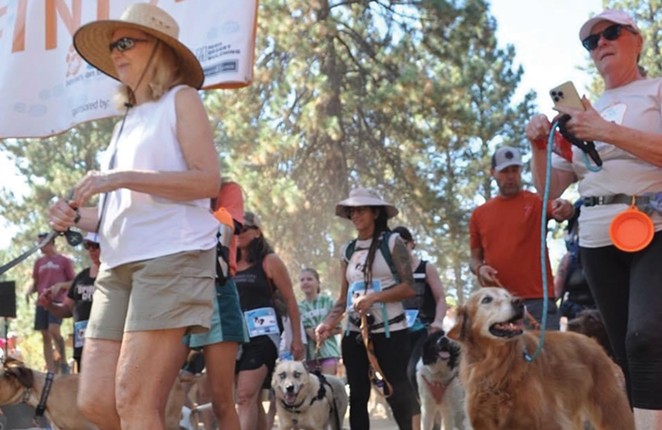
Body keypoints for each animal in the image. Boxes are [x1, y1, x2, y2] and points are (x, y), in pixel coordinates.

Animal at [448, 288, 636, 430]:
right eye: (486, 299)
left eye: (508, 295)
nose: (519, 302)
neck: (496, 366)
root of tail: (593, 342)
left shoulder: (547, 420)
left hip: (611, 409)